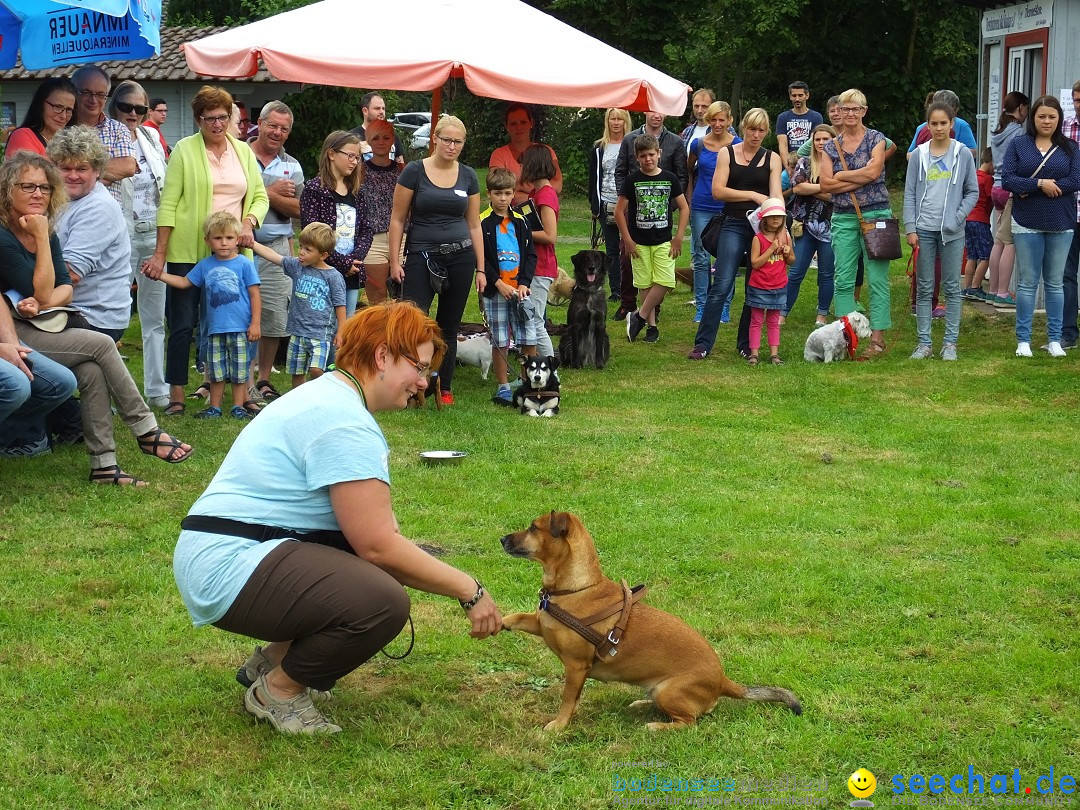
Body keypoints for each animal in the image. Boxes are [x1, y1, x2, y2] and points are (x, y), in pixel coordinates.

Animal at [498, 509, 803, 734]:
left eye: (533, 528)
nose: (502, 539)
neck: (577, 588)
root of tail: (722, 682)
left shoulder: (576, 667)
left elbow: (567, 700)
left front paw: (559, 725)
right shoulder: (540, 624)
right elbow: (517, 617)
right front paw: (497, 621)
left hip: (669, 692)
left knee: (688, 723)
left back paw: (656, 726)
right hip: (659, 690)